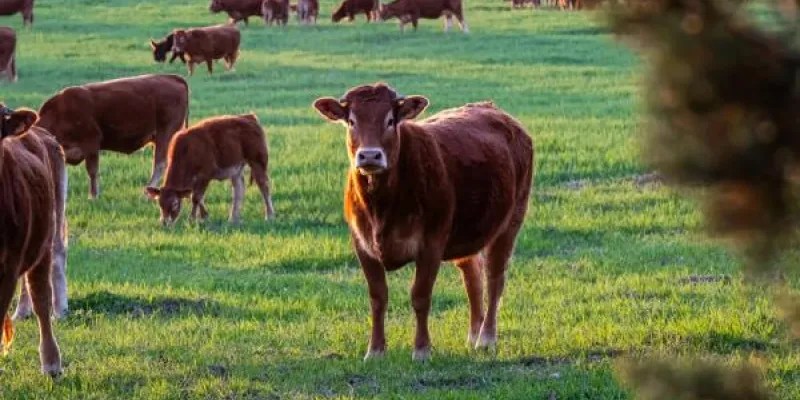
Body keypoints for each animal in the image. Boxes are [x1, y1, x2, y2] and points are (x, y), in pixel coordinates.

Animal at [36, 74, 190, 200]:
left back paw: (147, 194)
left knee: (160, 163)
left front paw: (93, 196)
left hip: (166, 133)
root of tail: (172, 77)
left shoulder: (91, 141)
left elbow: (92, 171)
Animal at [145, 114, 275, 226]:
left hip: (258, 162)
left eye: (175, 203)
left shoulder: (205, 175)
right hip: (236, 170)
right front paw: (204, 216)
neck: (187, 150)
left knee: (264, 187)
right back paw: (233, 218)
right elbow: (198, 197)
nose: (165, 223)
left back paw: (269, 215)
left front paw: (192, 219)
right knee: (238, 190)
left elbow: (196, 198)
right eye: (160, 204)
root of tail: (250, 117)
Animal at [312, 83, 534, 361]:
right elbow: (378, 297)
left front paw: (421, 350)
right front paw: (375, 350)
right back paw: (473, 334)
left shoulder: (431, 244)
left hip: (510, 222)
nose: (370, 156)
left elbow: (420, 296)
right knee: (472, 275)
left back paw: (486, 338)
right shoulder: (362, 245)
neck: (382, 206)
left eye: (390, 120)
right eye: (351, 121)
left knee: (494, 277)